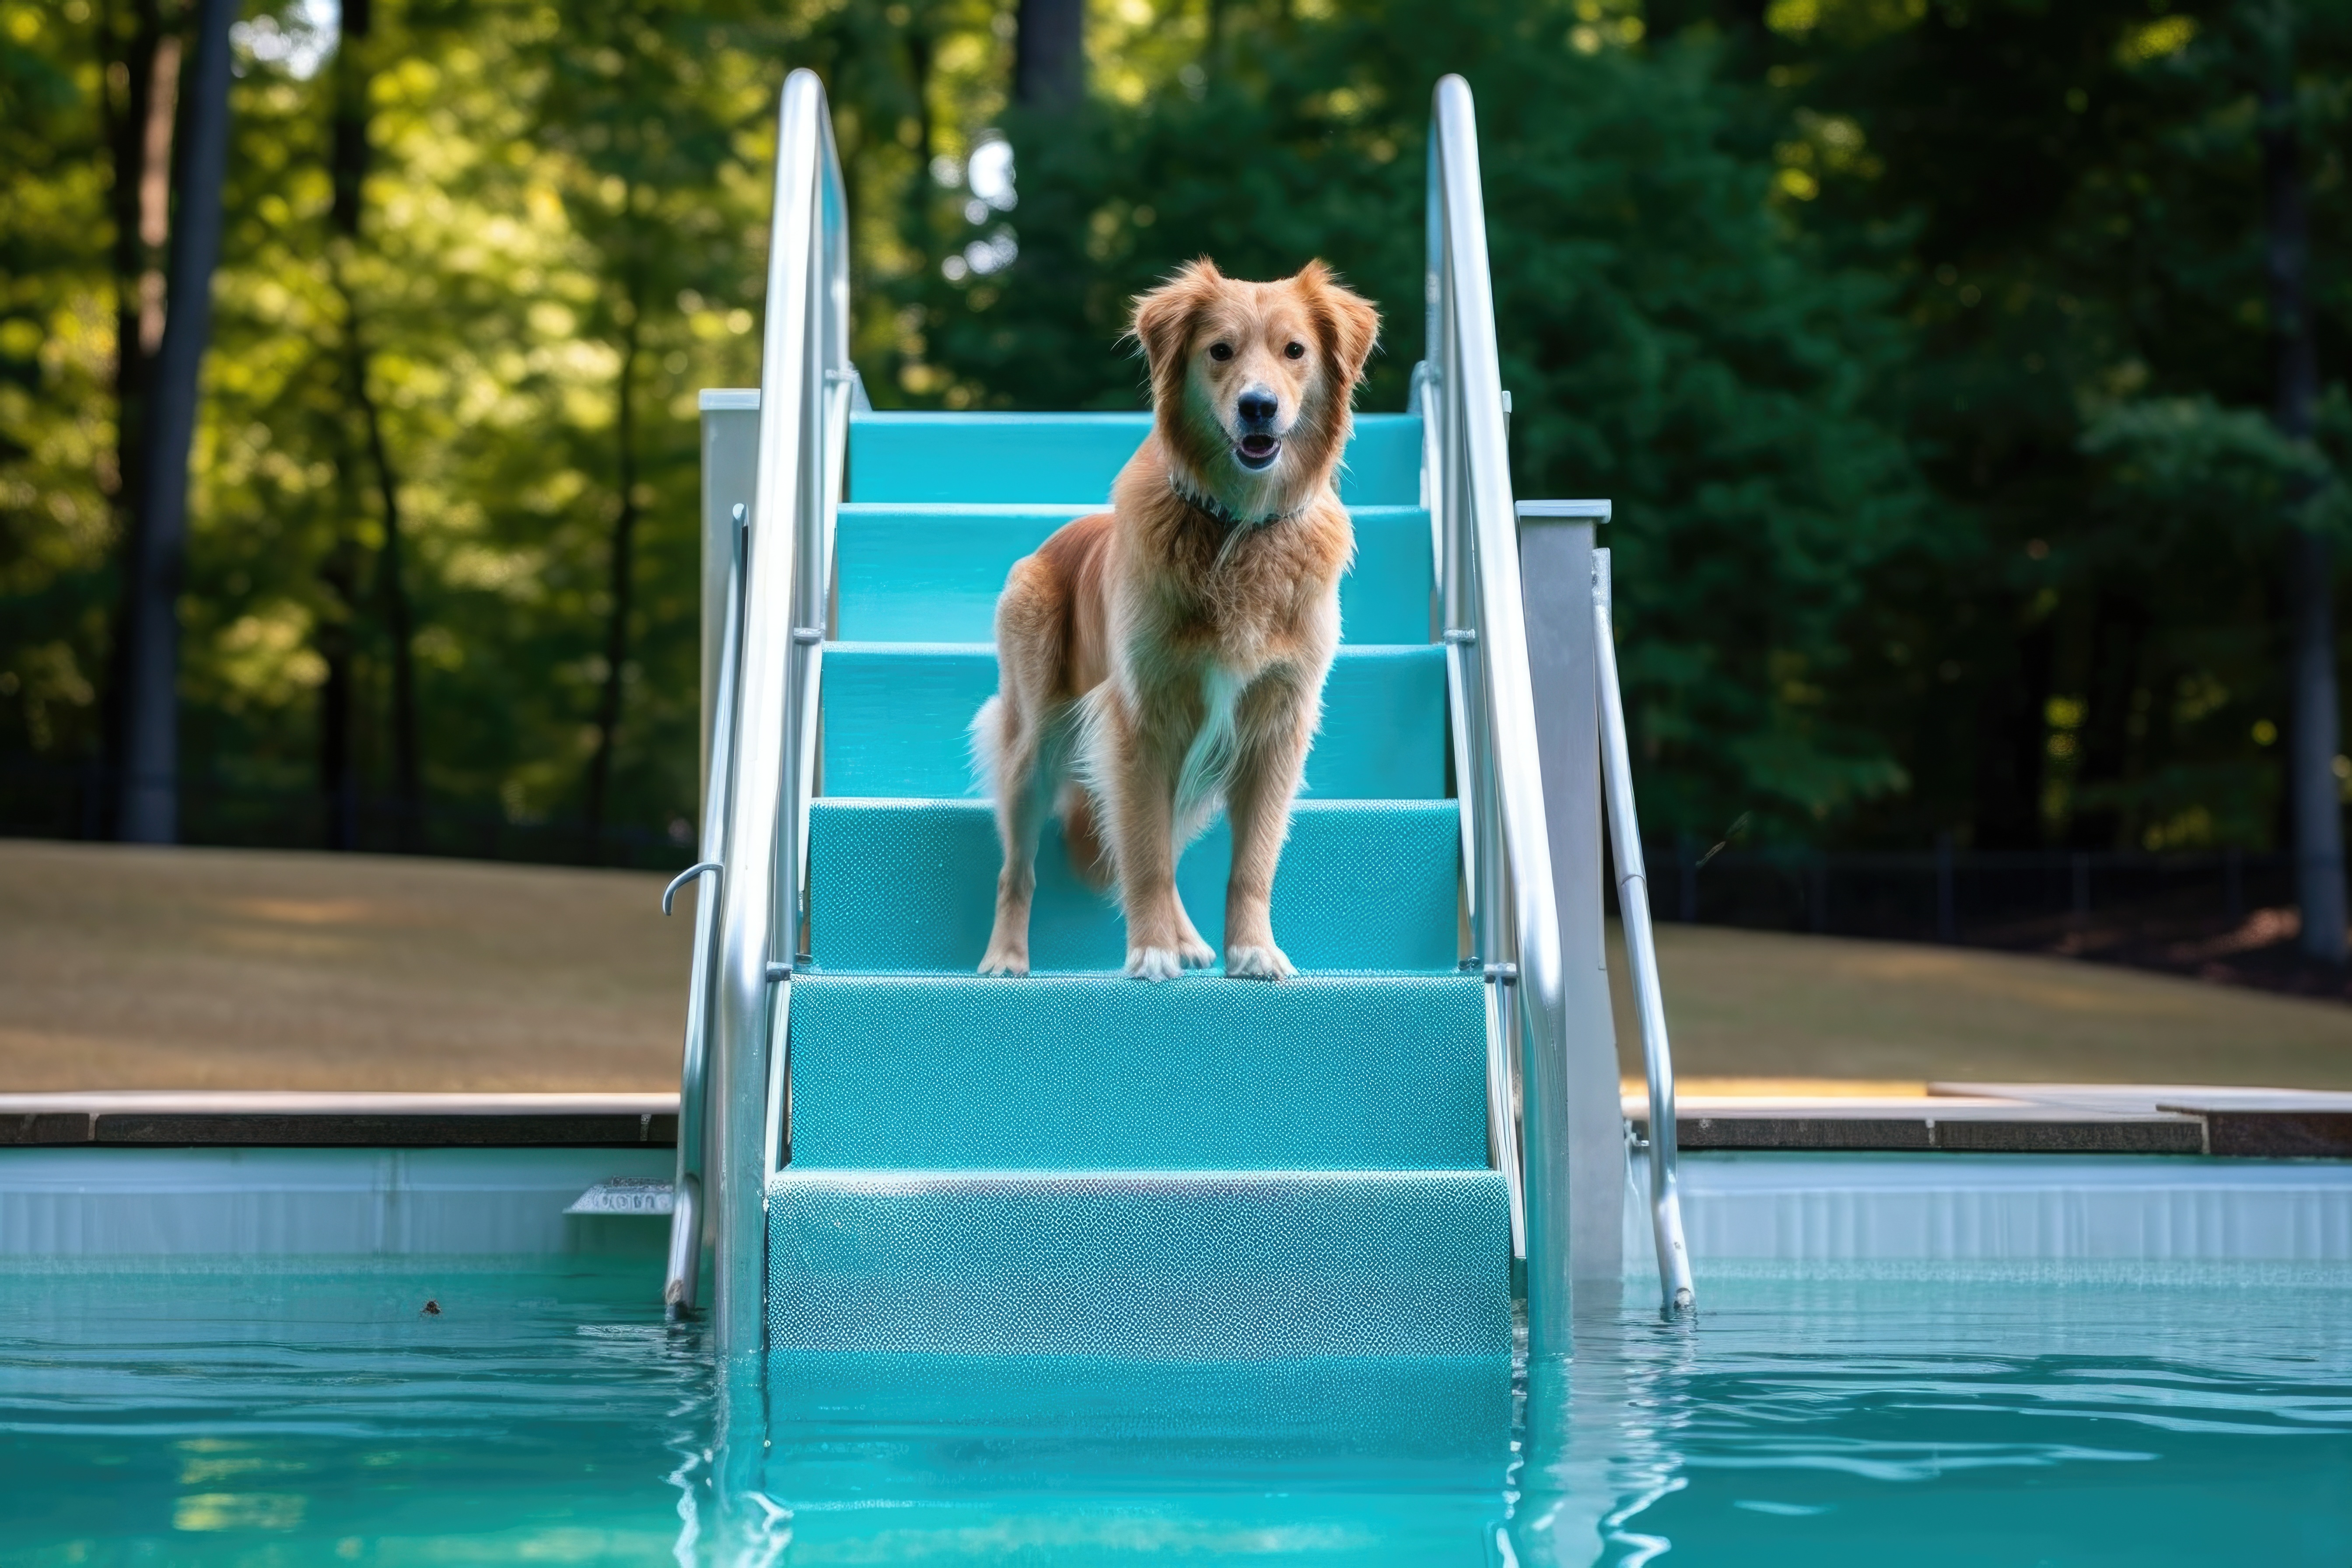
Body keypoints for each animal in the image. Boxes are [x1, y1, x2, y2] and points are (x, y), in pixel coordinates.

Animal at [969, 263, 1373, 987]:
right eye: (1221, 351)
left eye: (1295, 351)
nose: (1258, 407)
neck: (1239, 526)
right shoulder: (1140, 721)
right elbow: (1146, 855)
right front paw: (1150, 952)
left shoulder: (1278, 727)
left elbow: (1251, 864)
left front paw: (1252, 950)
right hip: (1032, 742)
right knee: (1020, 867)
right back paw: (1006, 958)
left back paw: (1188, 938)